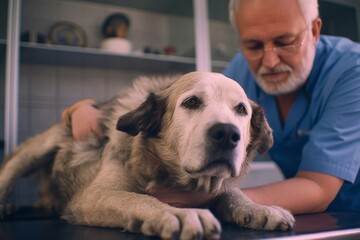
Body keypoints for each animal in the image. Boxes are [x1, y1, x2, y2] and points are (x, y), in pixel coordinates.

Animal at [0, 71, 294, 240]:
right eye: (191, 102)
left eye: (241, 109)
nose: (227, 134)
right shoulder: (91, 196)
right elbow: (138, 198)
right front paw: (174, 213)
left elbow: (232, 194)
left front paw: (258, 209)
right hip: (38, 148)